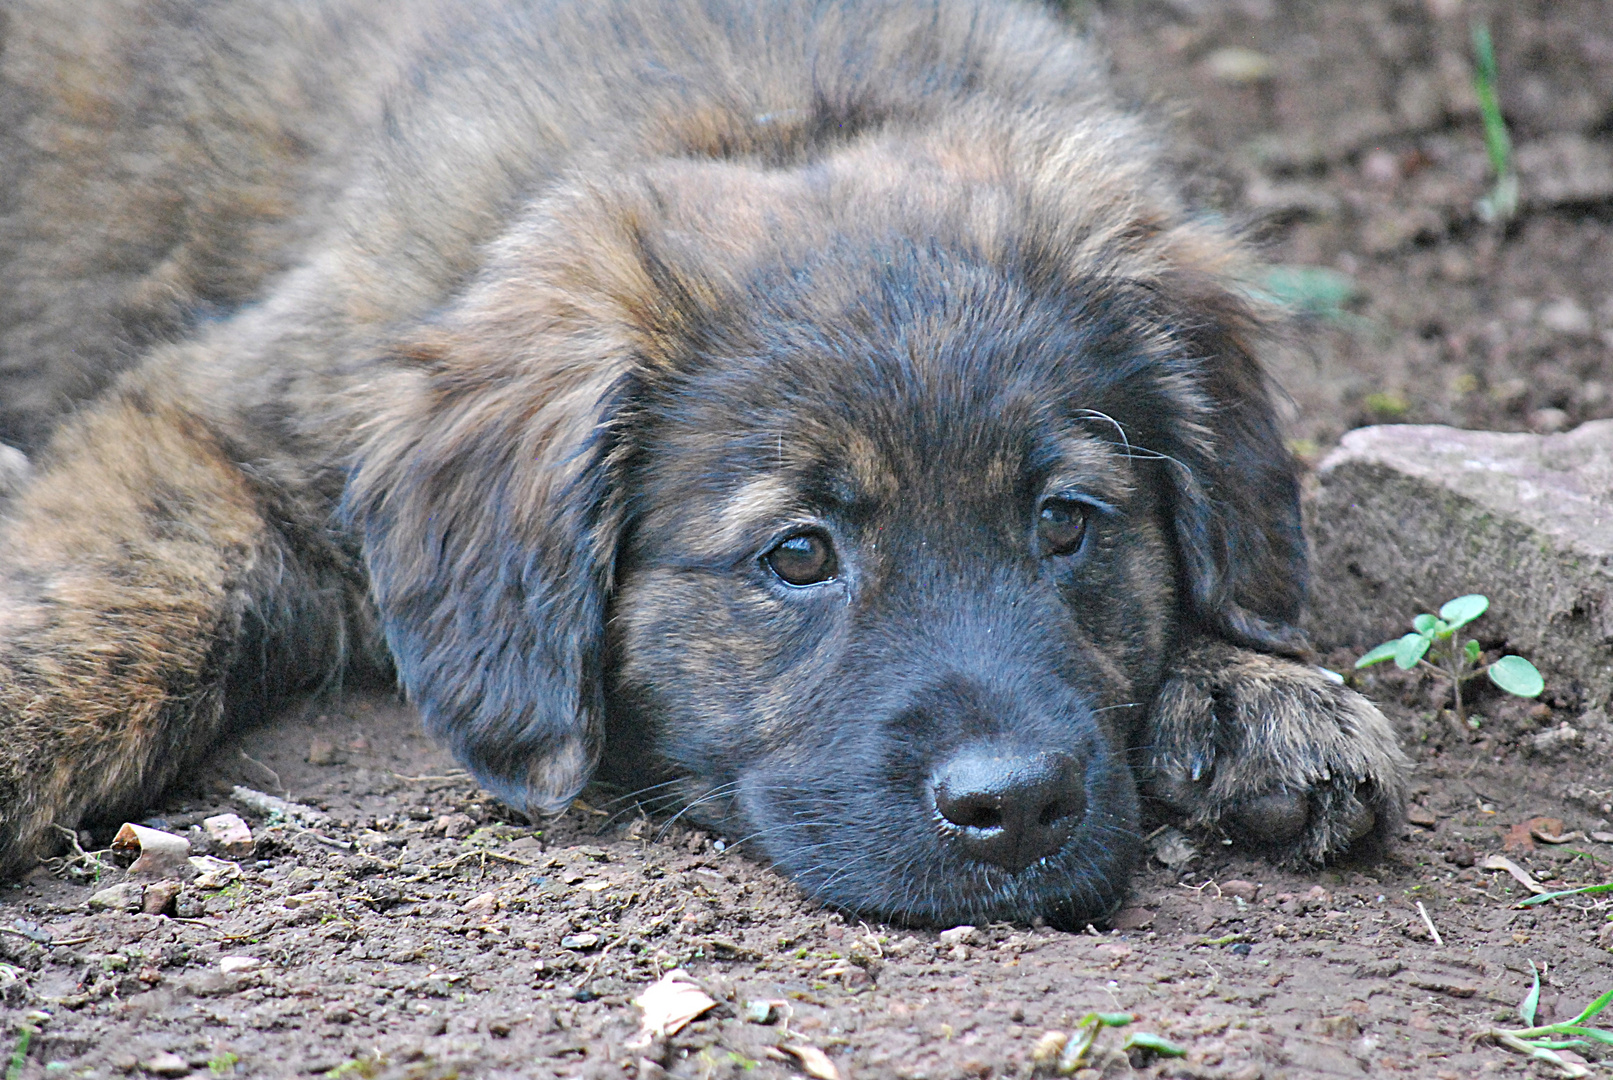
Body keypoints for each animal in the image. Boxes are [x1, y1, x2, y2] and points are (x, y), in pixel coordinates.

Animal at [0, 0, 1406, 928]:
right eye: (797, 555)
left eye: (1065, 520)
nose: (1012, 809)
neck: (771, 112)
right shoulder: (213, 420)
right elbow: (138, 614)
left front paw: (1253, 697)